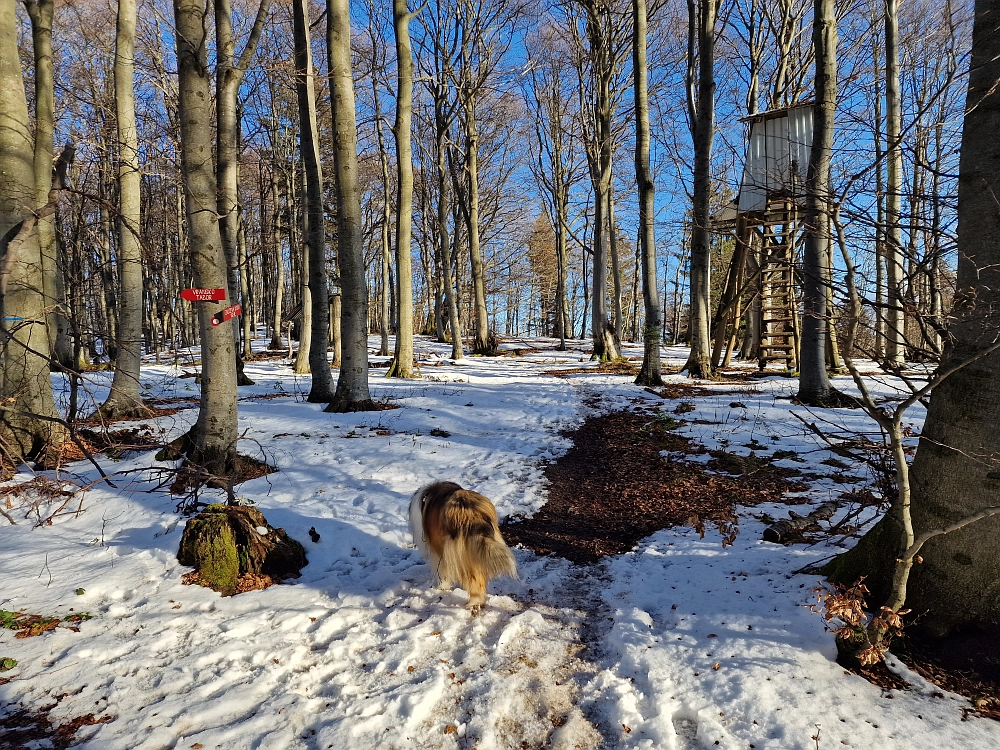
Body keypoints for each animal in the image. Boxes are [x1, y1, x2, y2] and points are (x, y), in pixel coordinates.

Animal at [408, 484, 520, 612]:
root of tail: (471, 513)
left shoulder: (439, 552)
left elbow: (441, 572)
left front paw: (442, 586)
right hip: (479, 551)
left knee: (474, 582)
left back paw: (473, 603)